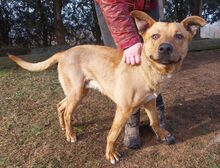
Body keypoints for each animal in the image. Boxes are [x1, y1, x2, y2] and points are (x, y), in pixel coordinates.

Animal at [8, 10, 205, 165]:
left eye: (179, 36)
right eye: (155, 36)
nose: (165, 48)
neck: (147, 70)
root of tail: (63, 52)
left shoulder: (150, 102)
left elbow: (155, 121)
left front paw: (162, 134)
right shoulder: (123, 109)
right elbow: (112, 134)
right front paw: (110, 154)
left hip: (78, 91)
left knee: (60, 105)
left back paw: (64, 127)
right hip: (77, 93)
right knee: (68, 112)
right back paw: (70, 134)